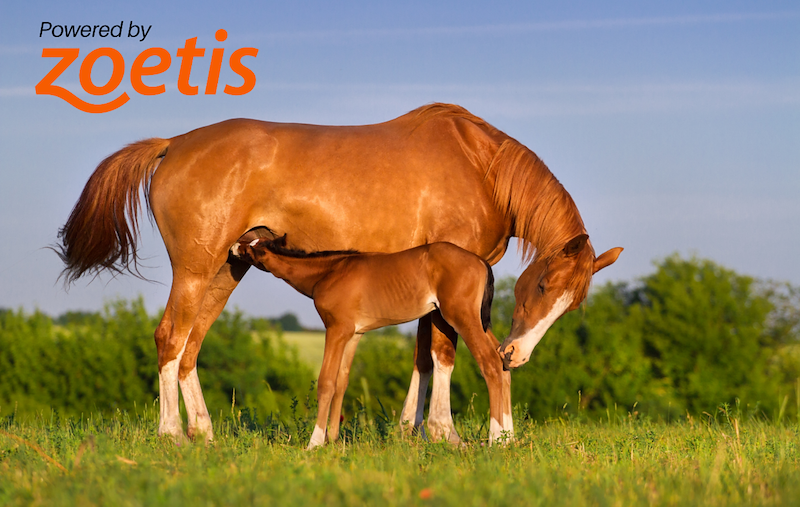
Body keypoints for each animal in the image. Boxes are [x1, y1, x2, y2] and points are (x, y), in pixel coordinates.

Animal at [230, 235, 510, 448]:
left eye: (251, 247)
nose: (232, 247)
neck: (330, 272)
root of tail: (481, 262)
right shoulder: (354, 334)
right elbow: (342, 381)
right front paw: (333, 439)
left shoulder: (336, 329)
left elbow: (326, 382)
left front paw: (315, 443)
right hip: (475, 321)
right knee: (504, 358)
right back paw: (507, 437)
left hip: (461, 318)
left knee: (491, 363)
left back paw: (496, 440)